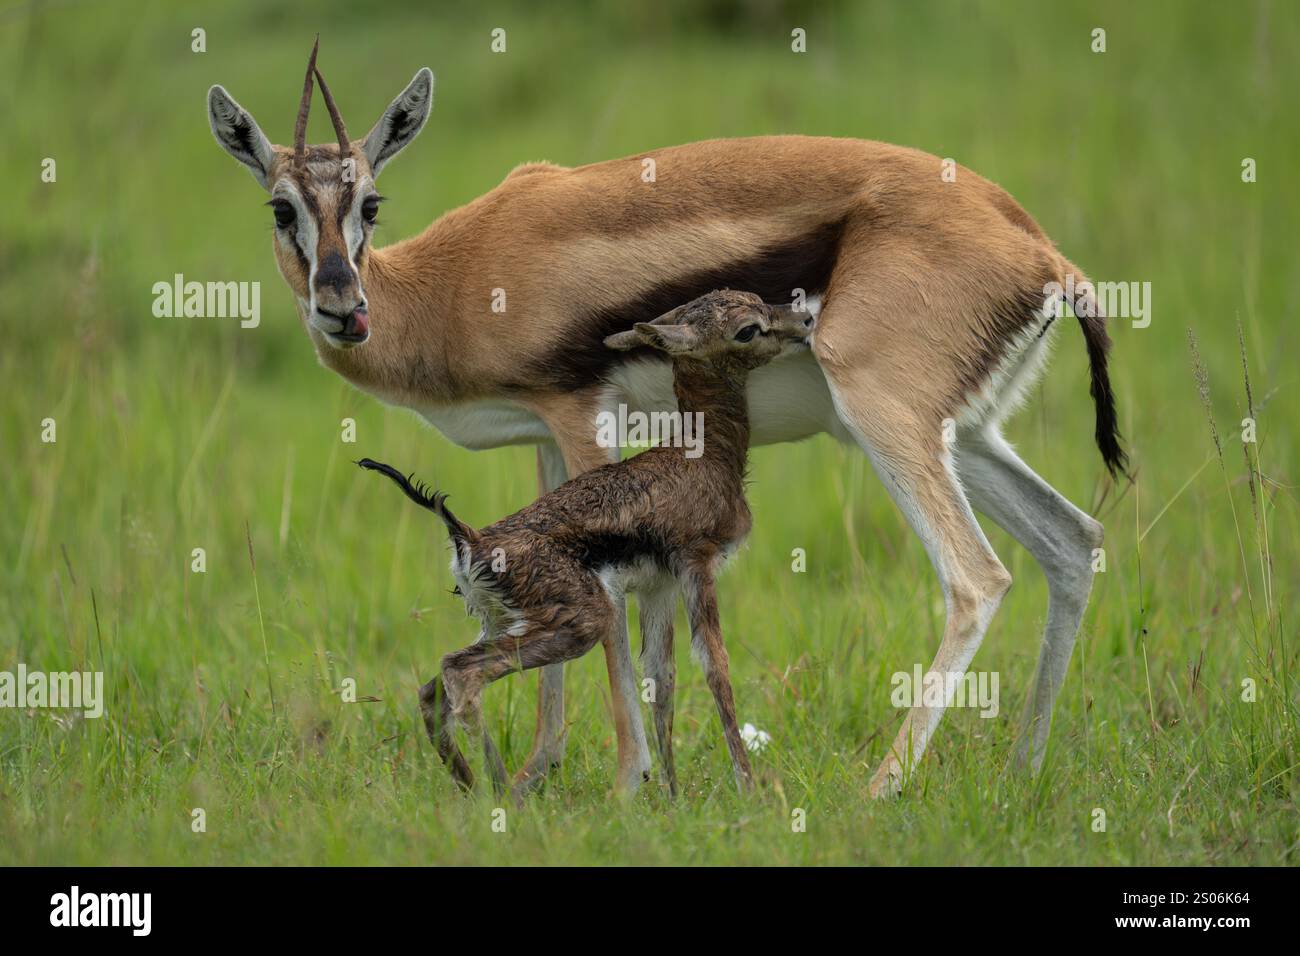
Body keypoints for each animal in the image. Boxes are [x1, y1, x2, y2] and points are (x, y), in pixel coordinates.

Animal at [359, 290, 812, 796]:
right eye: (748, 328)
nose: (805, 320)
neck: (704, 453)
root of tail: (468, 538)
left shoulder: (658, 587)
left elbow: (662, 680)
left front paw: (673, 797)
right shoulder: (698, 567)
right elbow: (716, 668)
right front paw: (750, 790)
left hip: (506, 623)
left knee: (431, 689)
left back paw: (474, 786)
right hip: (580, 624)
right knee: (461, 674)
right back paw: (501, 792)